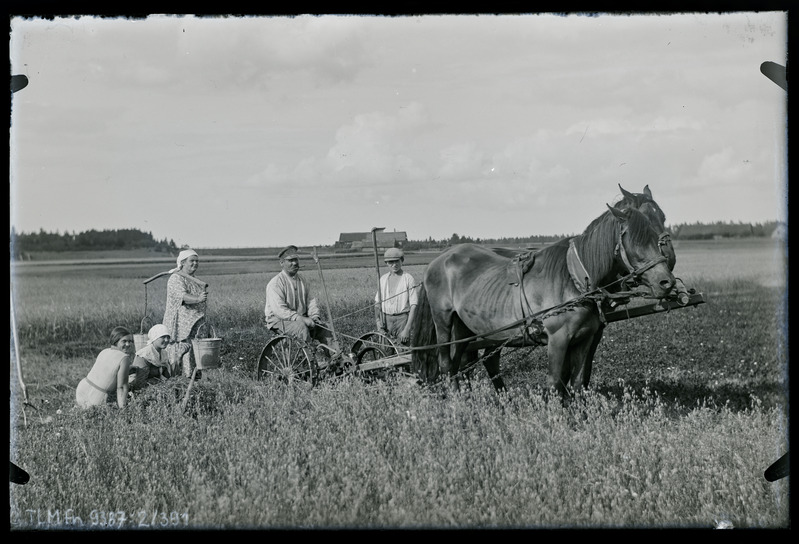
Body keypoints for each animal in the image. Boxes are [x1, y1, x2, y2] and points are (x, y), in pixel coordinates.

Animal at [416, 200, 680, 396]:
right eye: (634, 242)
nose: (666, 282)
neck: (574, 278)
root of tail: (439, 259)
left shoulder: (584, 339)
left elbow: (576, 382)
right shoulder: (558, 339)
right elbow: (555, 383)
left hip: (466, 328)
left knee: (461, 364)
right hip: (444, 321)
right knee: (446, 364)